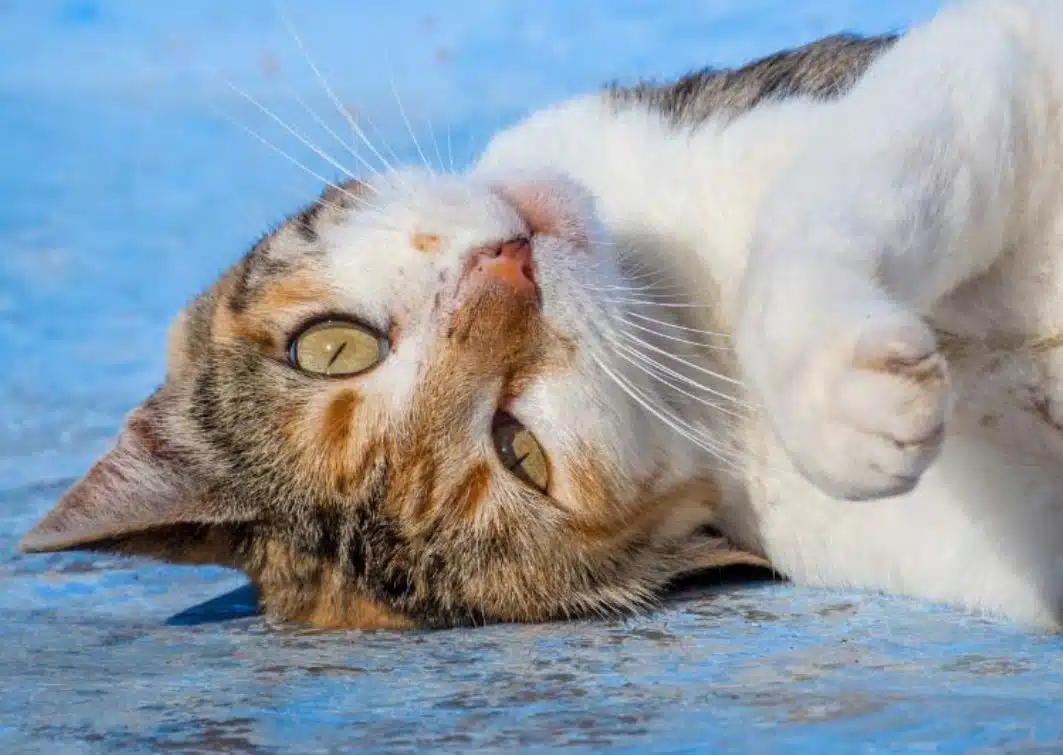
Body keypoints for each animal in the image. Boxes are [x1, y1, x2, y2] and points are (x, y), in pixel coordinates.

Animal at [18, 0, 1063, 633]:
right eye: (520, 449)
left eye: (330, 347)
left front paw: (833, 395)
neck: (688, 304)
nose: (508, 267)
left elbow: (836, 191)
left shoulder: (969, 57)